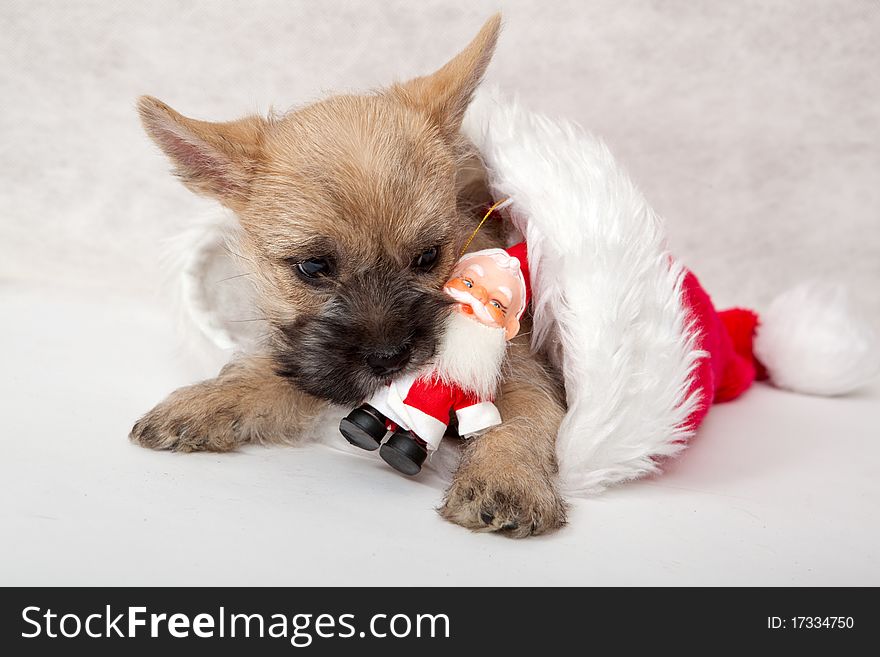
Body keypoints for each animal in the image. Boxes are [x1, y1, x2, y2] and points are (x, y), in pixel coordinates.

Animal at [131, 15, 572, 536]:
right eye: (312, 267)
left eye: (428, 256)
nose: (390, 359)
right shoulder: (317, 362)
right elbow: (278, 377)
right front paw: (210, 400)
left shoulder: (526, 371)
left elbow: (518, 419)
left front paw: (506, 480)